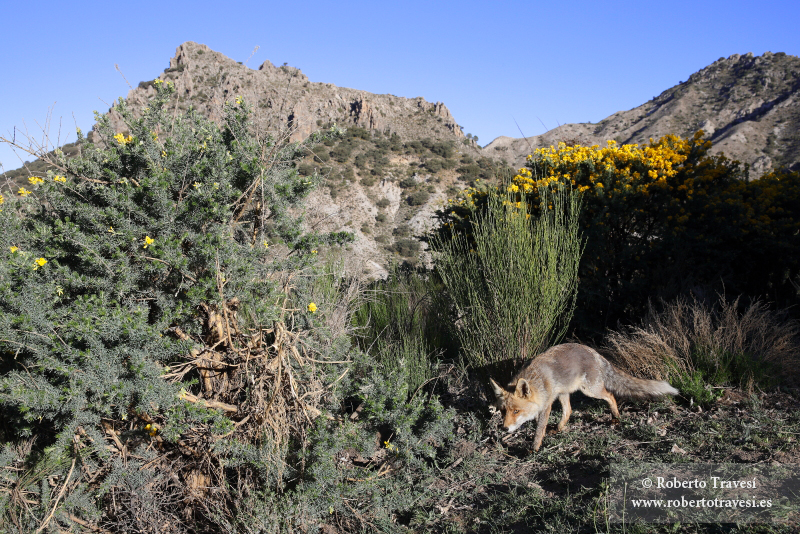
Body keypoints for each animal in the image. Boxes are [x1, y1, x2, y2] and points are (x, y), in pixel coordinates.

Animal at [490, 344, 680, 452]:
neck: (537, 381)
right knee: (569, 411)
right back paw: (559, 428)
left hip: (591, 390)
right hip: (564, 393)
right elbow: (541, 425)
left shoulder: (547, 405)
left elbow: (539, 429)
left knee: (610, 396)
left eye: (516, 411)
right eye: (503, 411)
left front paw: (534, 448)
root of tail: (594, 352)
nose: (504, 428)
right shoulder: (547, 402)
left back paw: (615, 417)